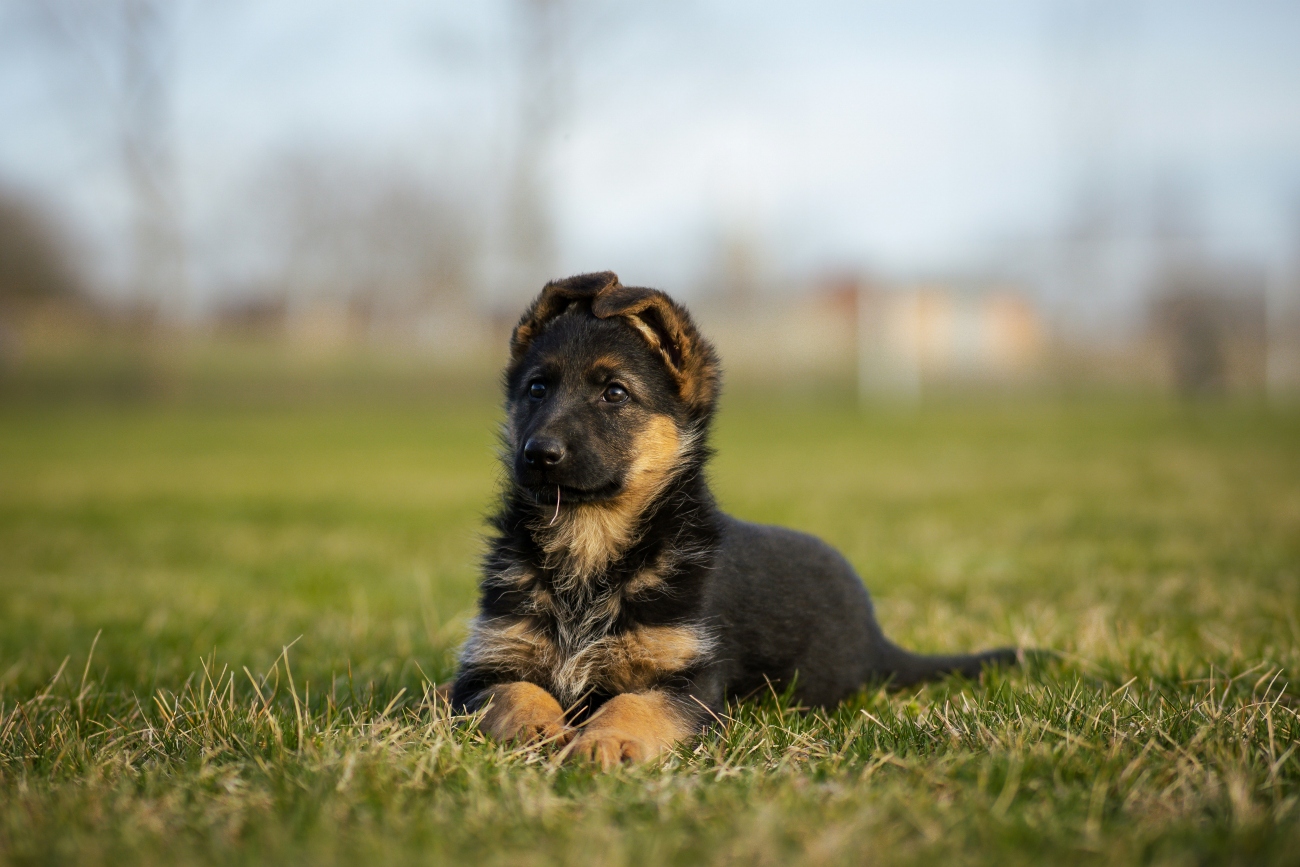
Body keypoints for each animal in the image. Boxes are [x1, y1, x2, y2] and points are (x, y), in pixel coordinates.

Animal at [452, 271, 1019, 764]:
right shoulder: (484, 668)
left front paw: (604, 740)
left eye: (615, 393)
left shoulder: (693, 683)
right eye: (536, 388)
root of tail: (877, 638)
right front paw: (540, 728)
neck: (591, 543)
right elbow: (515, 692)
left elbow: (634, 703)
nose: (538, 454)